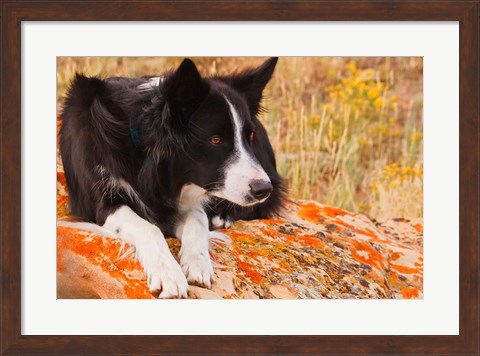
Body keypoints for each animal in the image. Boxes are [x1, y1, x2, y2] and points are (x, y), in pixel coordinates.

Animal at [60, 57, 284, 298]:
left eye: (249, 136)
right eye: (215, 140)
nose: (263, 189)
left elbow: (198, 218)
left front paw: (198, 263)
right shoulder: (102, 202)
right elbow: (149, 227)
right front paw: (168, 274)